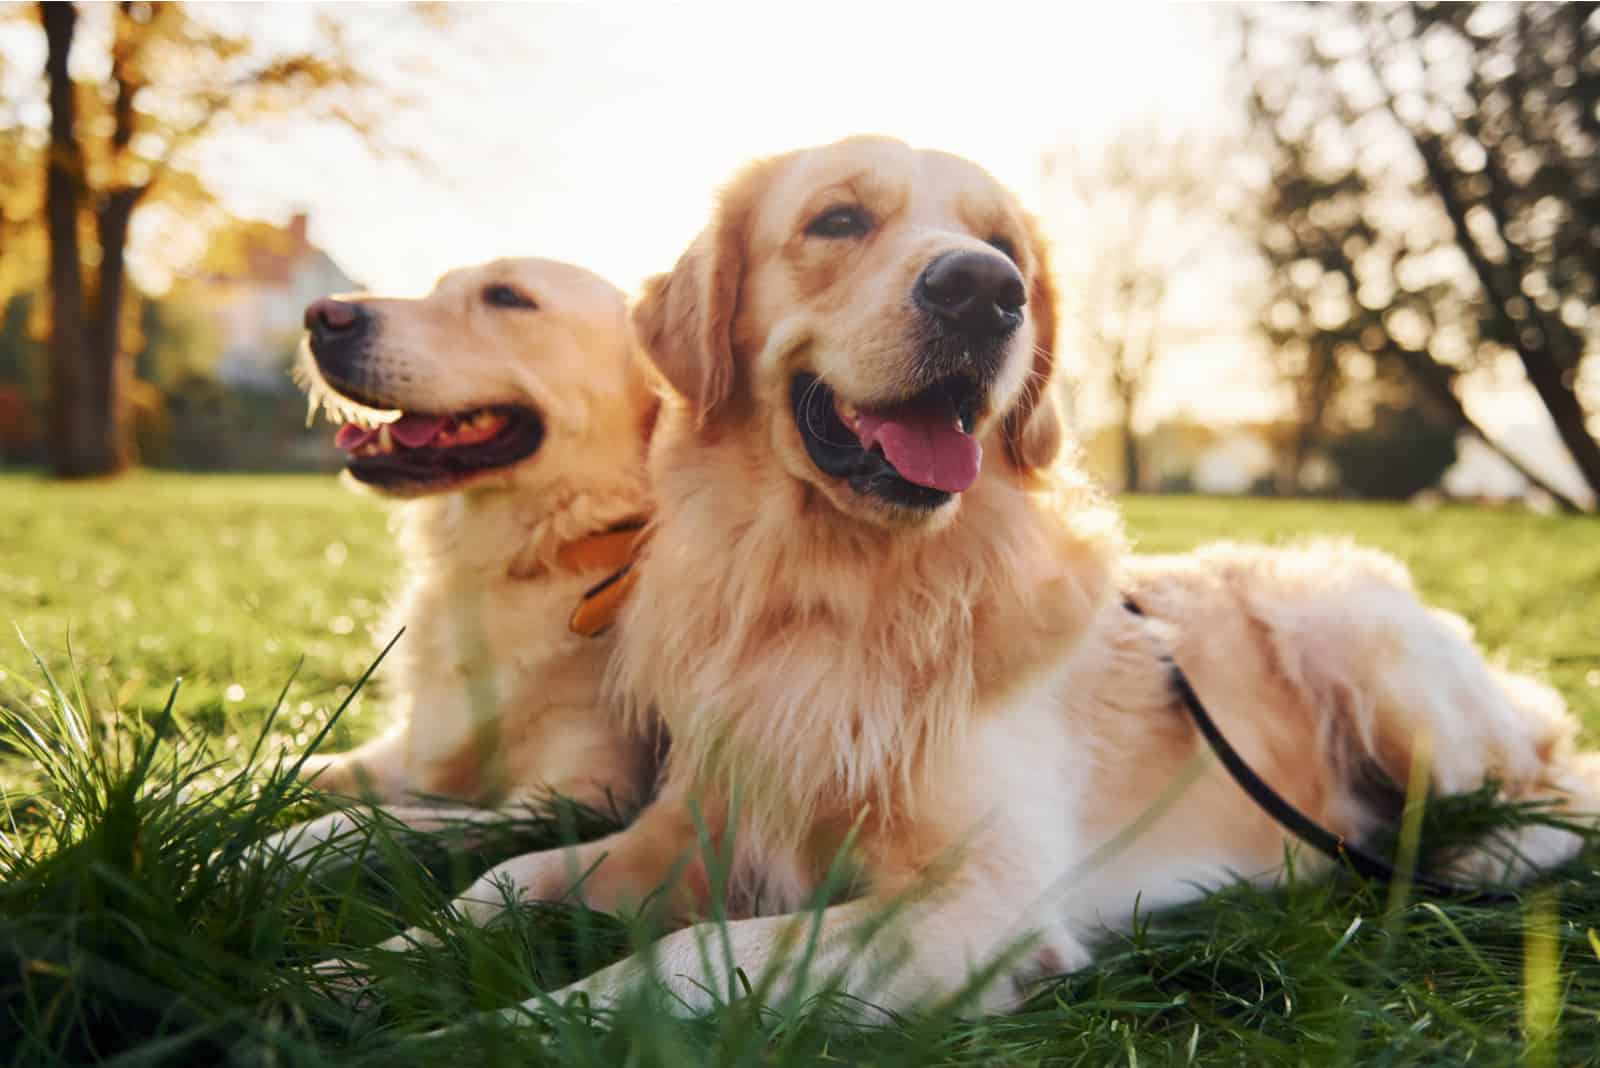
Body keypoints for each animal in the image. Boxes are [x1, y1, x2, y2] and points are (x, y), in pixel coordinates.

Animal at [268, 259, 656, 856]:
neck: (528, 559)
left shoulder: (573, 799)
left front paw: (273, 848)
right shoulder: (409, 747)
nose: (321, 316)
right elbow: (283, 768)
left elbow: (374, 819)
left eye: (507, 296)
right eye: (436, 288)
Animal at [321, 139, 1600, 1016]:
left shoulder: (975, 900)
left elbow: (680, 960)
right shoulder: (683, 825)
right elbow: (496, 883)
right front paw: (341, 976)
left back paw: (1473, 856)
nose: (985, 292)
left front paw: (498, 1027)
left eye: (1007, 250)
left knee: (1555, 789)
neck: (834, 585)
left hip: (1367, 656)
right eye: (836, 219)